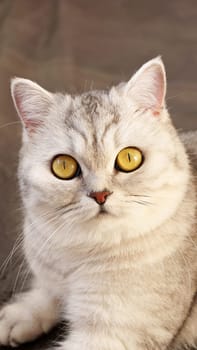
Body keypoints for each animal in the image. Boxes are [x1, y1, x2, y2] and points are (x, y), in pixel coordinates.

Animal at [0, 58, 197, 350]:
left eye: (129, 158)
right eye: (63, 166)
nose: (100, 194)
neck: (79, 252)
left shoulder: (112, 335)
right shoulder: (52, 277)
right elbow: (46, 294)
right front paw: (17, 315)